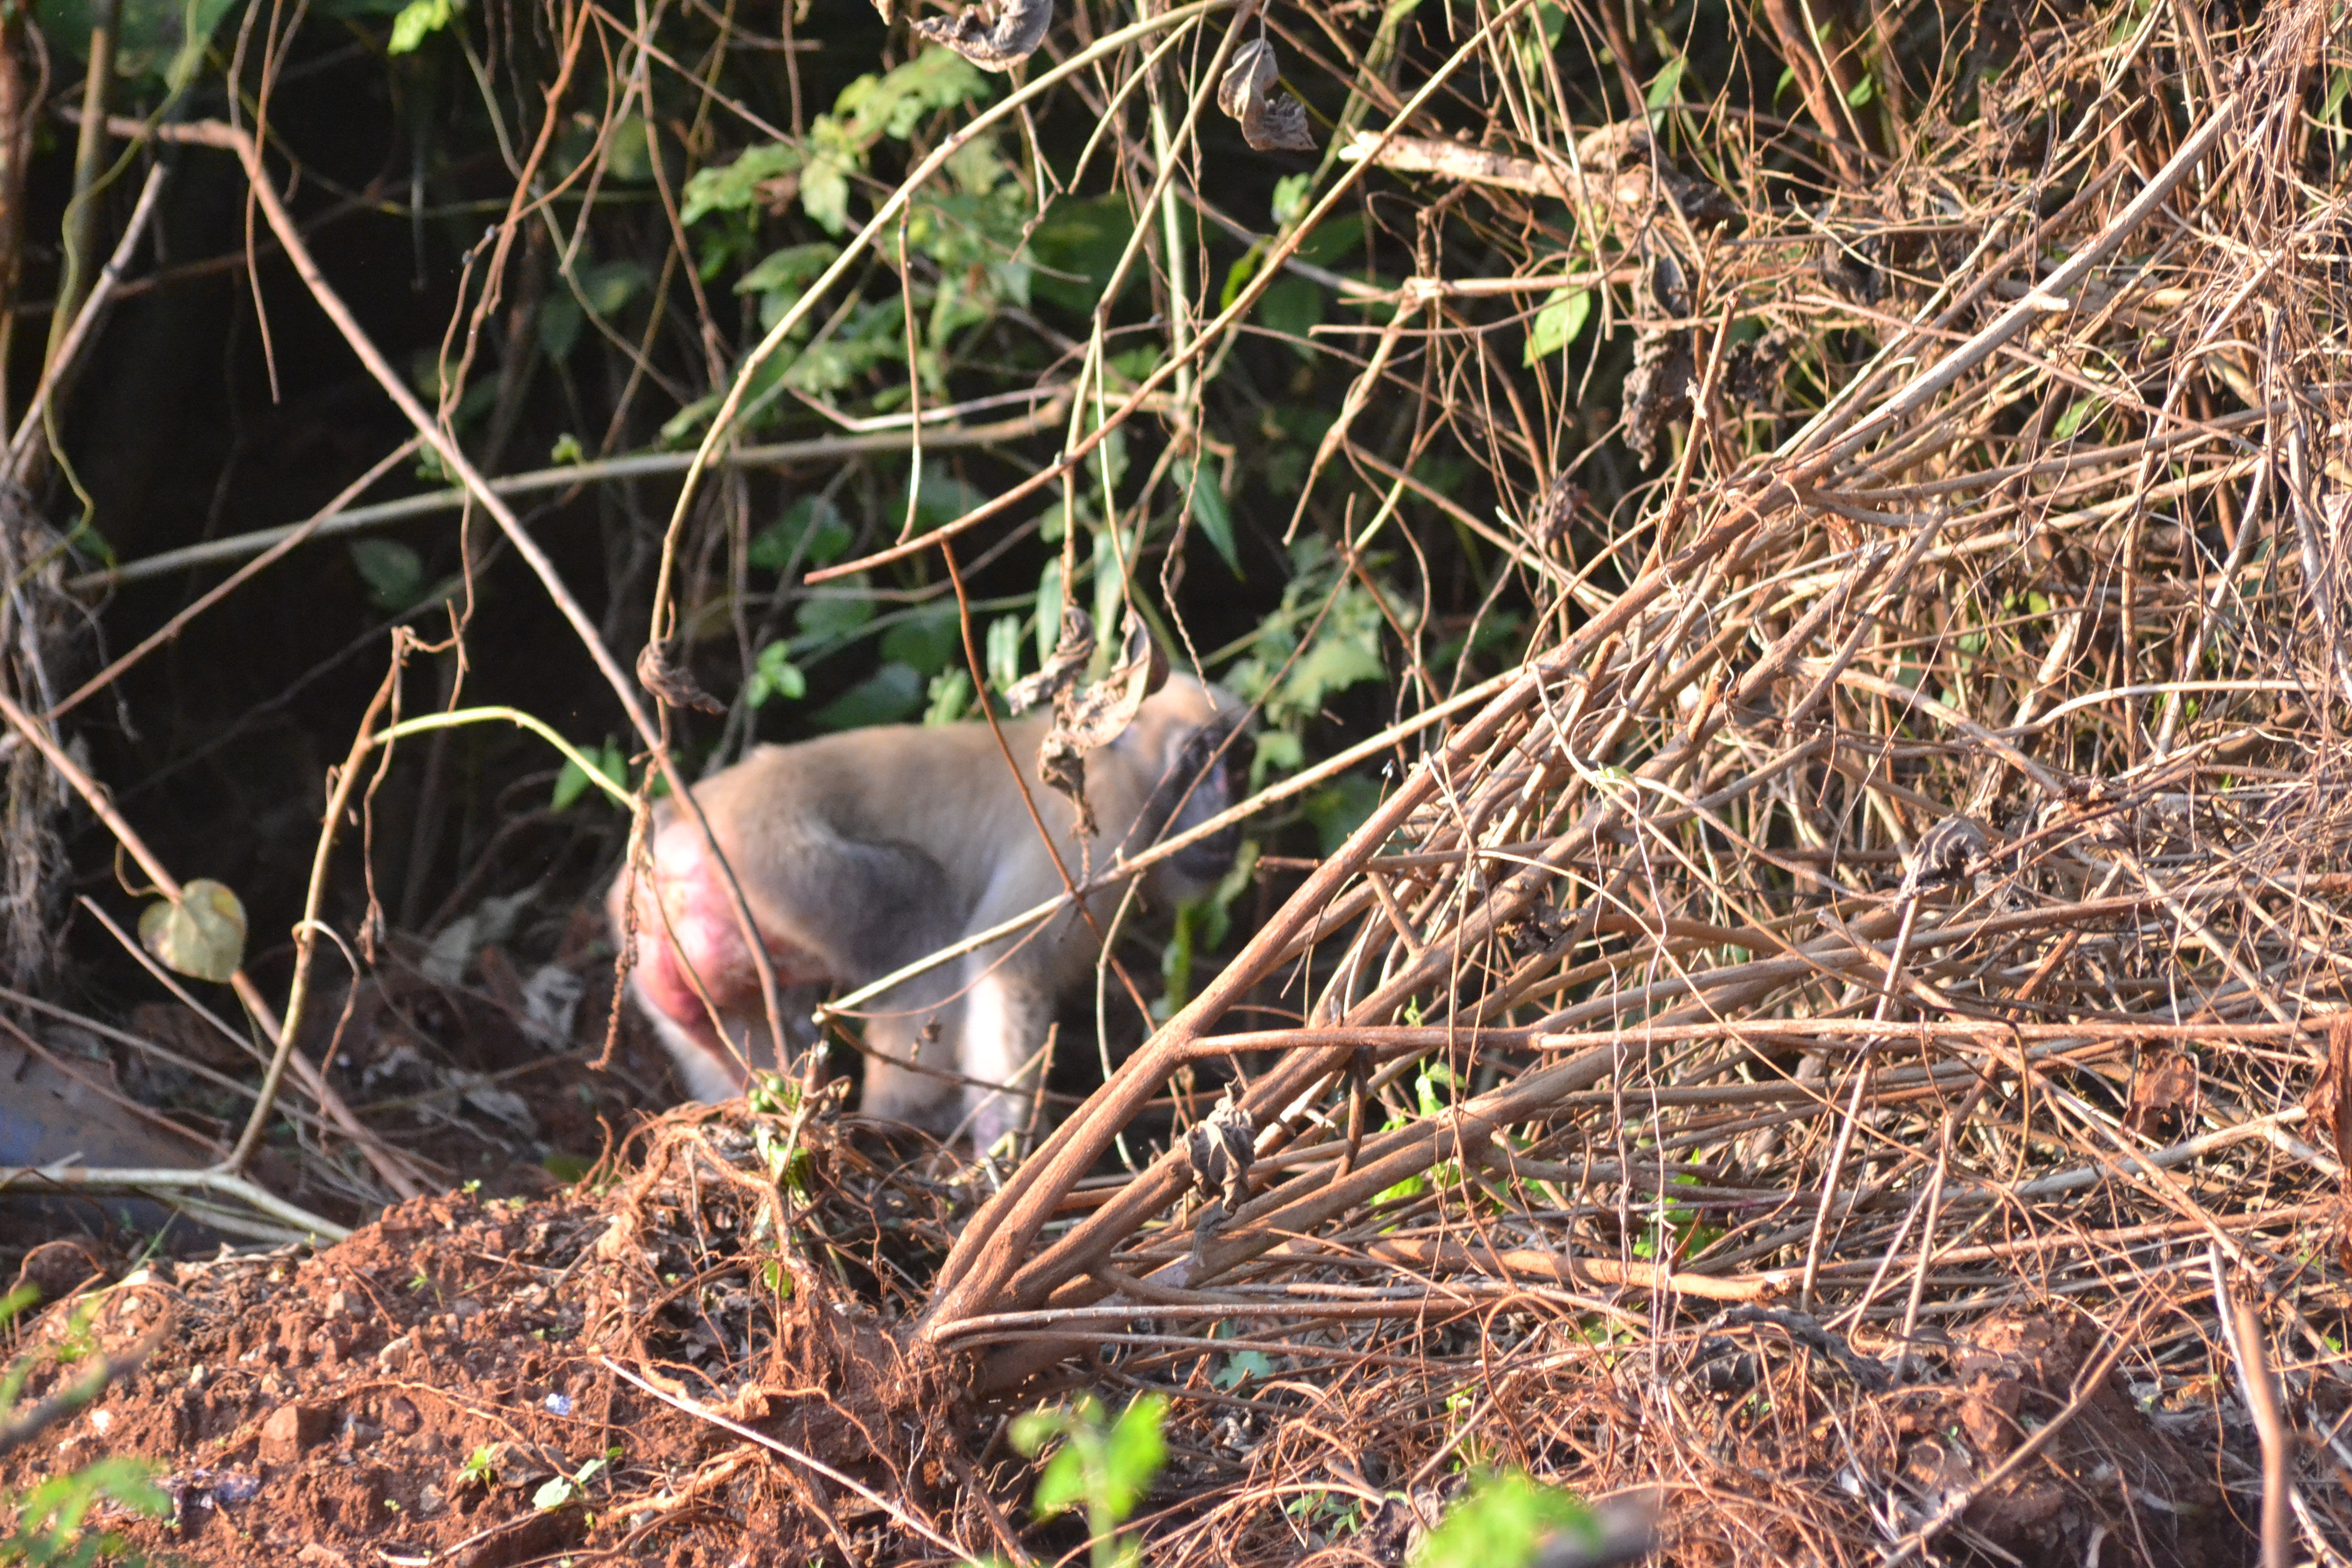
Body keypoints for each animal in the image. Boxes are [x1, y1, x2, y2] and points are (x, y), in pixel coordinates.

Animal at [606, 668, 1251, 1147]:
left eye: (1238, 762)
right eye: (1199, 758)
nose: (1225, 801)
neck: (1121, 769)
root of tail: (679, 829)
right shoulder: (1104, 820)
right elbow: (1004, 959)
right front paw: (1003, 1156)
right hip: (770, 865)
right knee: (921, 910)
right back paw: (910, 1122)